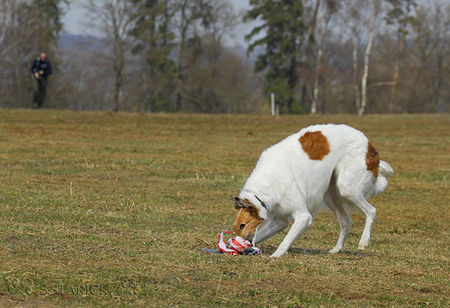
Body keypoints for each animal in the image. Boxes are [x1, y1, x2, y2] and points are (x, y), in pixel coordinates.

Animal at [232, 123, 394, 258]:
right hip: (330, 194)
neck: (266, 186)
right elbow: (262, 235)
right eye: (236, 227)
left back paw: (363, 241)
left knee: (371, 211)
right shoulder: (280, 219)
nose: (238, 242)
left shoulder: (303, 217)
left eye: (242, 225)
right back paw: (336, 249)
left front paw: (276, 255)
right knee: (346, 221)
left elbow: (285, 241)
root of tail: (369, 144)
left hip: (346, 188)